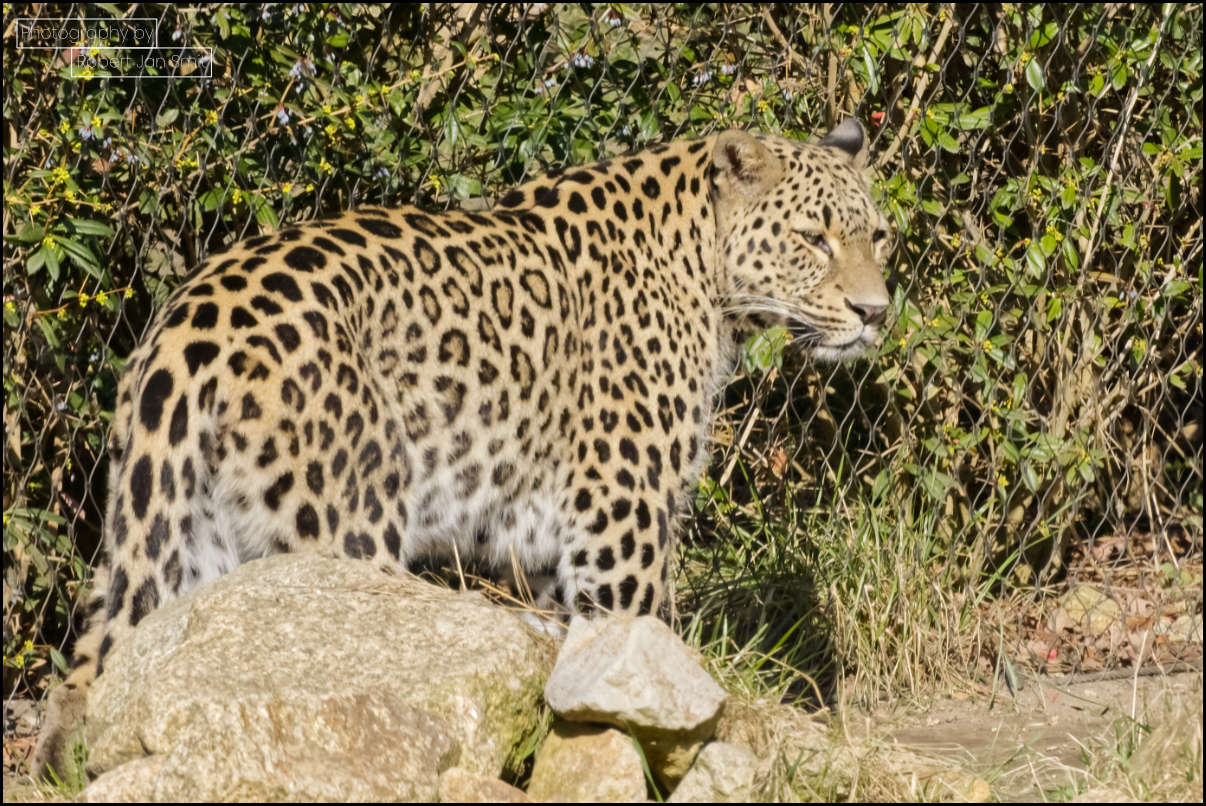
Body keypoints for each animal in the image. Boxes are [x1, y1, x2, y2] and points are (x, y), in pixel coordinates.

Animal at [34, 118, 892, 778]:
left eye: (876, 236)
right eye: (814, 238)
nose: (876, 312)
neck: (707, 275)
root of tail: (190, 323)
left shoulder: (552, 554)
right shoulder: (622, 520)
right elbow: (648, 649)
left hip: (194, 550)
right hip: (344, 540)